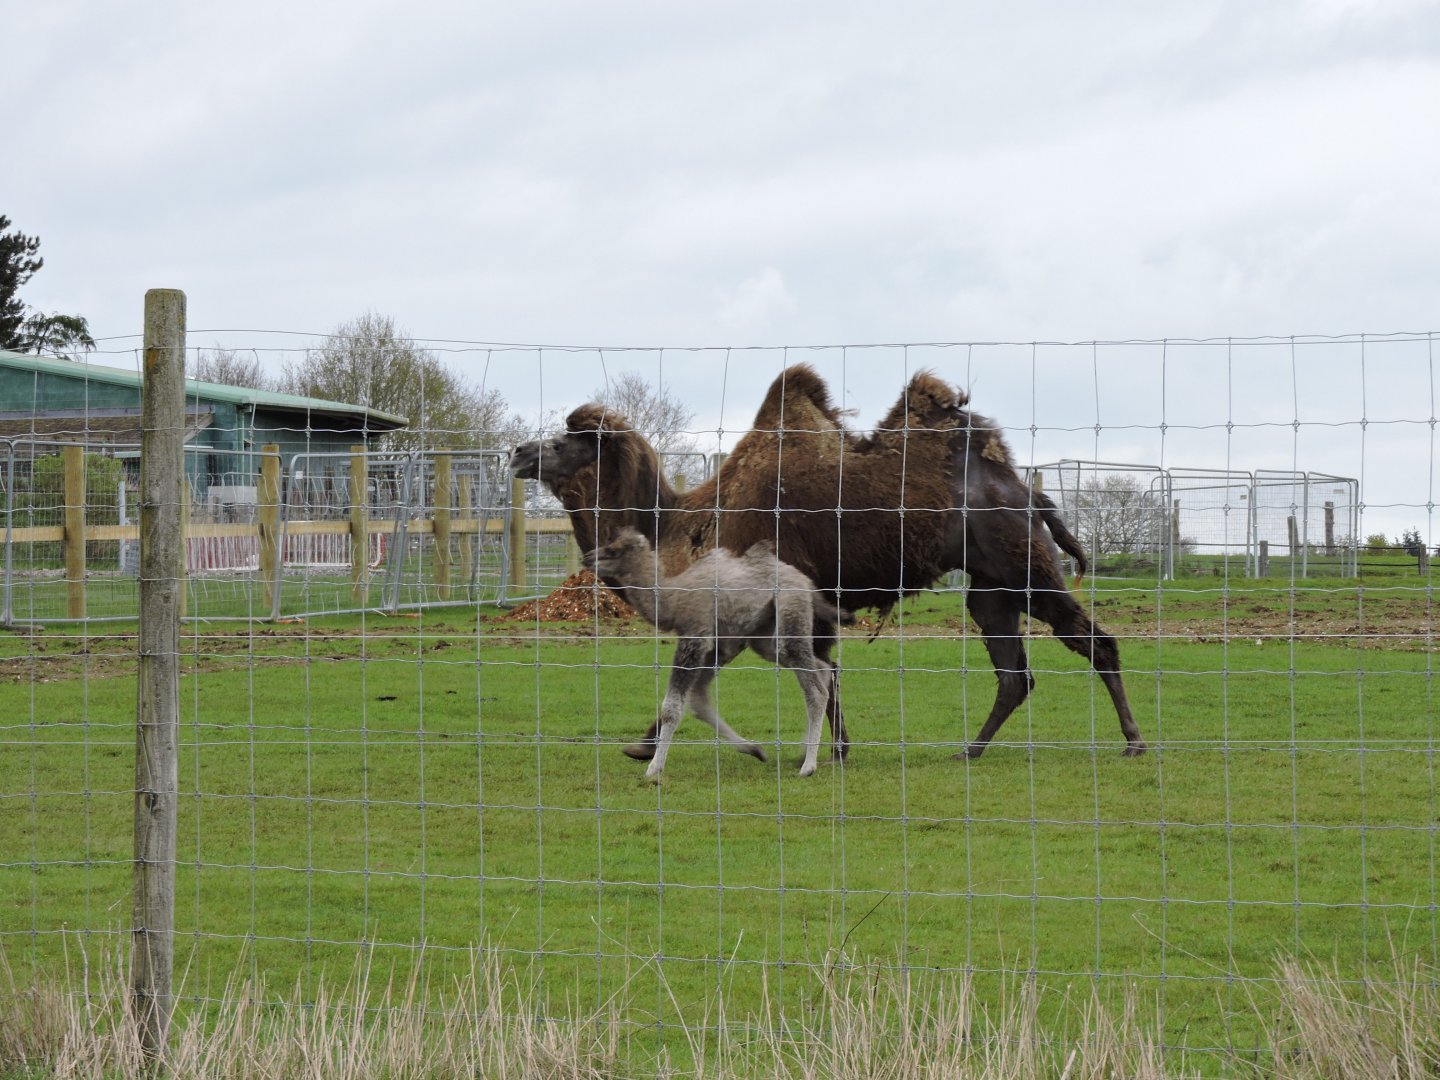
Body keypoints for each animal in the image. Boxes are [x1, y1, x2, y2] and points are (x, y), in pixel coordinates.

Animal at [512, 363, 1145, 761]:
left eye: (565, 442)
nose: (517, 452)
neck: (685, 525)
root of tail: (1030, 494)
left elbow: (776, 674)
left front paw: (645, 745)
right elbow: (823, 671)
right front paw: (837, 748)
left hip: (1024, 567)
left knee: (1094, 642)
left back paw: (1133, 741)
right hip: (992, 591)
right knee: (1015, 675)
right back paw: (970, 749)